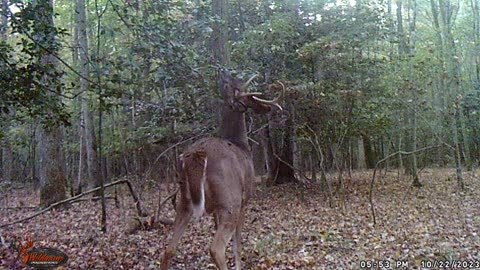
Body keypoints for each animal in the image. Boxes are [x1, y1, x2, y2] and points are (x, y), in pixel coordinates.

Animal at [161, 70, 284, 270]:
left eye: (229, 83)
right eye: (238, 85)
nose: (224, 72)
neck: (241, 145)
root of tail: (197, 154)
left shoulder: (214, 210)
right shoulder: (244, 200)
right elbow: (237, 245)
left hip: (185, 200)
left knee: (169, 249)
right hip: (230, 201)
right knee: (216, 249)